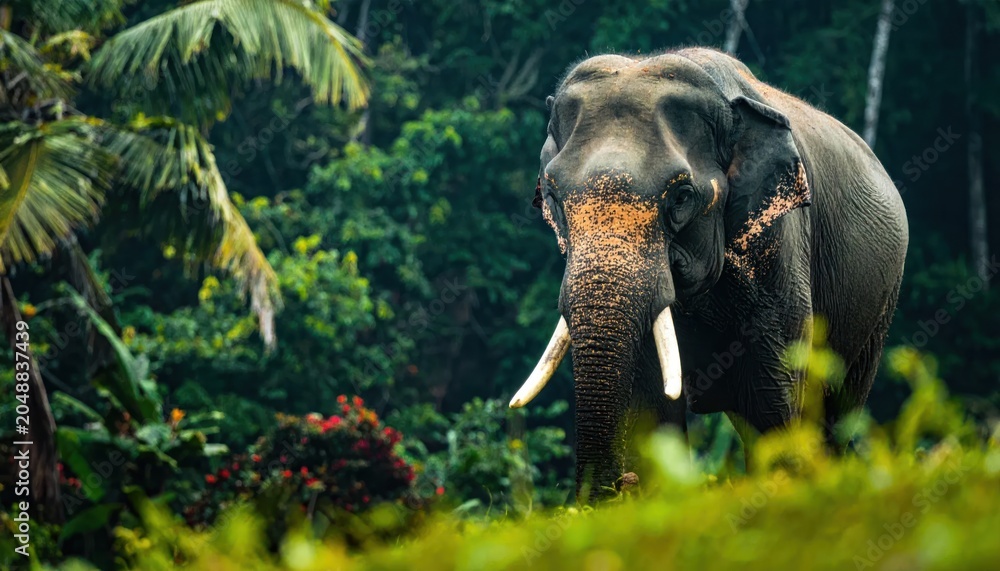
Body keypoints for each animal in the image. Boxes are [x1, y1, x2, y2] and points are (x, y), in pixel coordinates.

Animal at [509, 48, 908, 502]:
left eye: (682, 196)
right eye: (553, 196)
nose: (618, 487)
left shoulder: (779, 242)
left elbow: (773, 395)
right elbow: (651, 410)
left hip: (879, 306)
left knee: (836, 410)